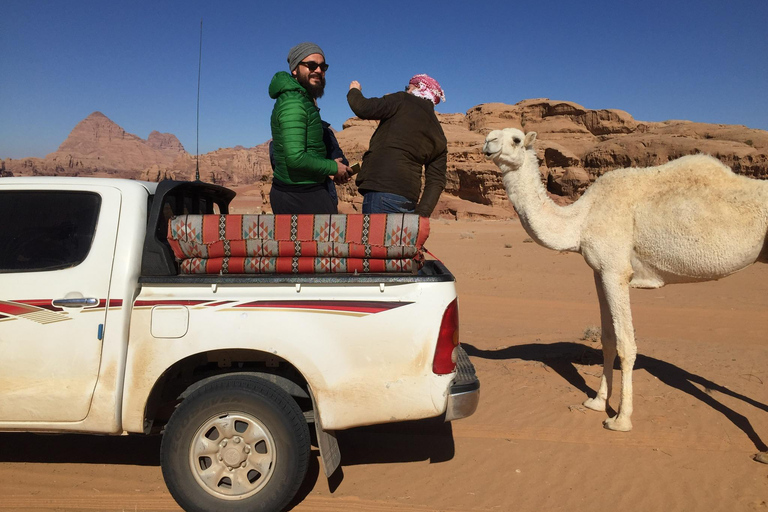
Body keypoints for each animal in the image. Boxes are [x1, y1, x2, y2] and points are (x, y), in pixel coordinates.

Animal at [484, 127, 768, 444]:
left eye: (516, 139)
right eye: (491, 134)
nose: (488, 144)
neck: (581, 220)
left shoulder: (616, 270)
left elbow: (626, 344)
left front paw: (621, 419)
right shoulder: (599, 272)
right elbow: (607, 339)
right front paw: (597, 402)